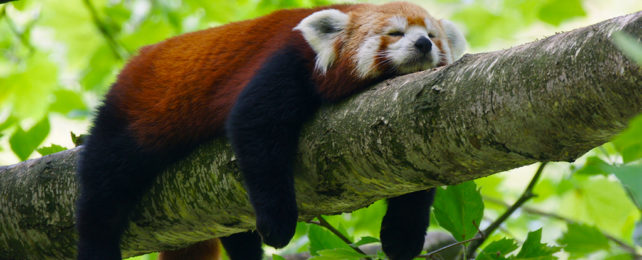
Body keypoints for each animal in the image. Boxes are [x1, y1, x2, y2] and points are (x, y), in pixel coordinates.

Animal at [75, 2, 464, 260]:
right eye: (395, 33)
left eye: (432, 35)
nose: (423, 44)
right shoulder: (286, 60)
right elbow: (255, 128)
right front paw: (278, 224)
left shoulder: (406, 126)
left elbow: (415, 177)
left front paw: (402, 236)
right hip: (134, 112)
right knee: (106, 184)